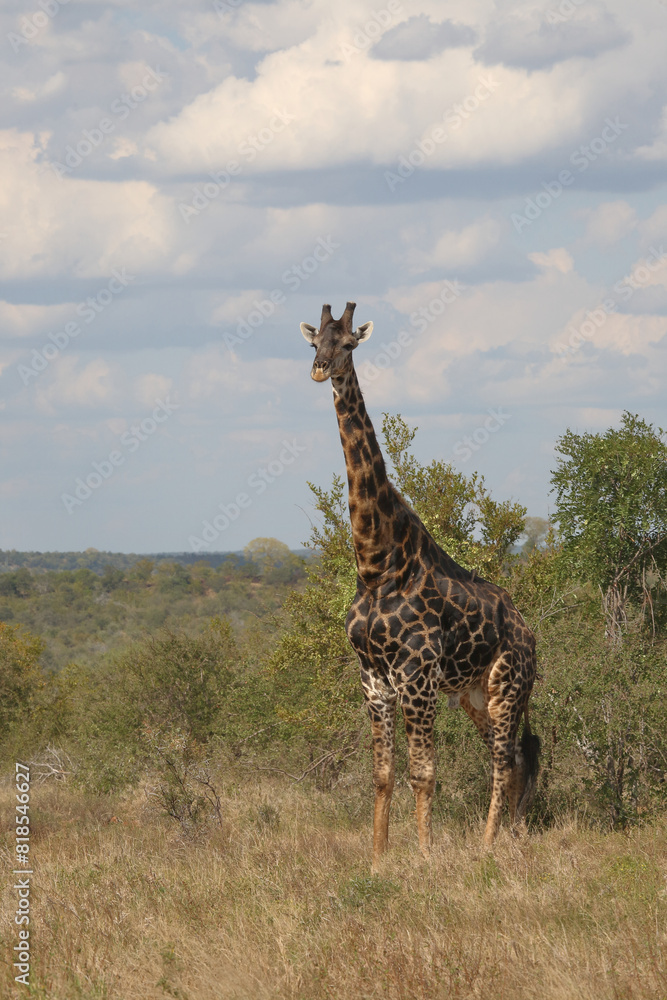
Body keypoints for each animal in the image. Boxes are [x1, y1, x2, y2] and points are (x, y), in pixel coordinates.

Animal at [301, 302, 540, 868]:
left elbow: (424, 774)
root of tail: (531, 636)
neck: (376, 565)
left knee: (504, 761)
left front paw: (426, 855)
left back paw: (488, 845)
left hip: (507, 687)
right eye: (314, 342)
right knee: (516, 758)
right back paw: (511, 836)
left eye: (349, 344)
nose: (320, 370)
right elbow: (383, 776)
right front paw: (377, 858)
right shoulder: (373, 679)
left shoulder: (417, 677)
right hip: (477, 695)